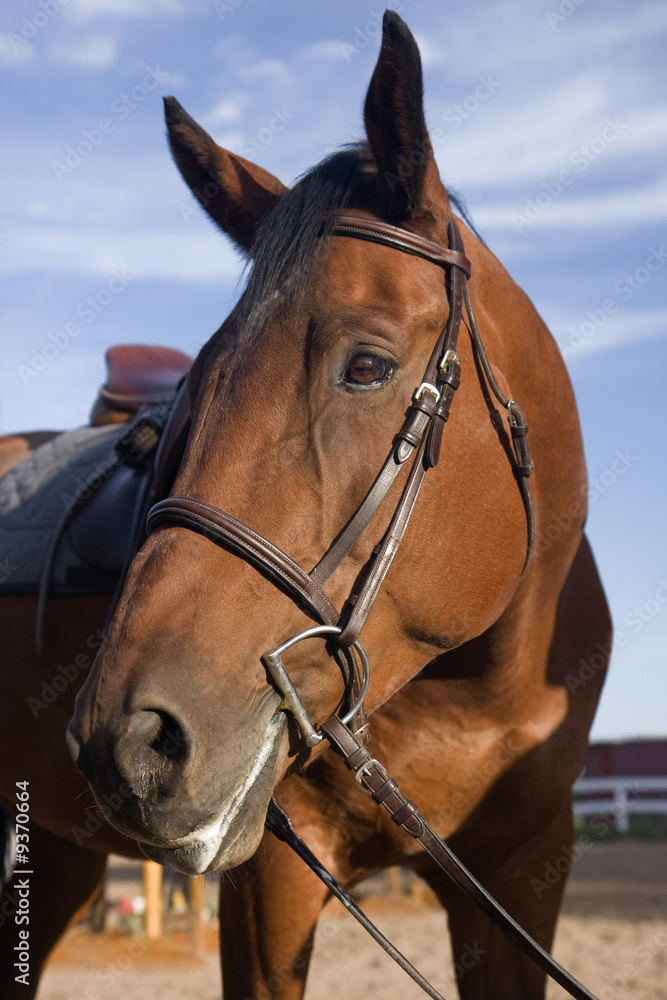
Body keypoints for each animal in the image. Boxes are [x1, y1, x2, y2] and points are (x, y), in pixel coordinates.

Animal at [0, 11, 611, 999]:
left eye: (365, 366)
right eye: (200, 385)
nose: (127, 740)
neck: (469, 691)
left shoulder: (523, 869)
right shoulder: (271, 882)